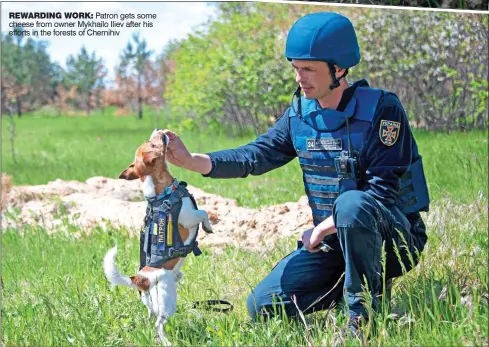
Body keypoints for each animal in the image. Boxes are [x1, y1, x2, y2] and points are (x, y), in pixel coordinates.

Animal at [103, 129, 212, 346]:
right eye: (152, 143)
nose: (159, 130)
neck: (163, 192)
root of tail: (140, 279)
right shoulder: (190, 217)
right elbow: (204, 212)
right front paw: (209, 226)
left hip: (150, 302)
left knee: (150, 318)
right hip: (167, 302)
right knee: (158, 324)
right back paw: (167, 341)